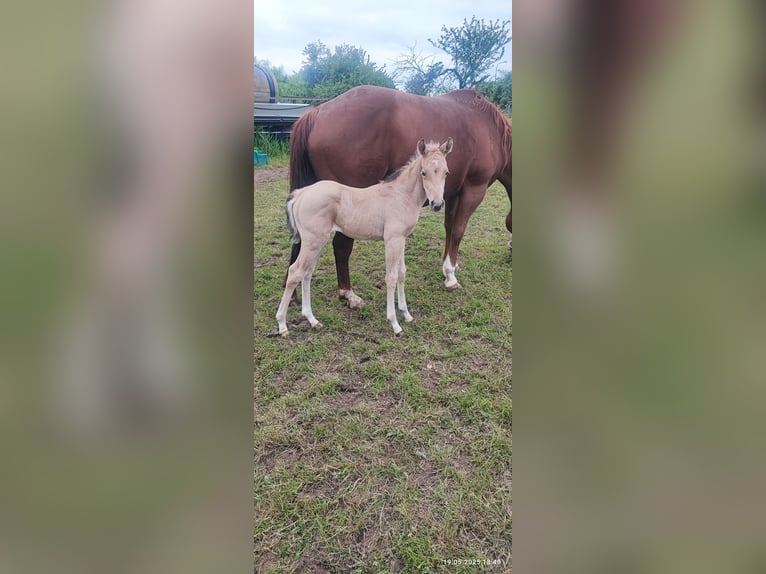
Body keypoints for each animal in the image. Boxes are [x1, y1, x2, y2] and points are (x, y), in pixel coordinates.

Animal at [276, 138, 453, 336]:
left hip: (317, 242)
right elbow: (391, 277)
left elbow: (401, 273)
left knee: (307, 274)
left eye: (446, 172)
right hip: (312, 242)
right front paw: (394, 323)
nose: (437, 204)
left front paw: (406, 314)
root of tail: (301, 193)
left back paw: (312, 320)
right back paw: (282, 325)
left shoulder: (402, 239)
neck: (401, 196)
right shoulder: (392, 240)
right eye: (424, 172)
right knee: (295, 272)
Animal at [288, 85, 511, 309]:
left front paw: (448, 268)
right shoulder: (474, 189)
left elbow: (449, 228)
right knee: (341, 246)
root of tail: (316, 113)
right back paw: (348, 294)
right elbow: (458, 231)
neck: (490, 129)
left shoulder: (451, 193)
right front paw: (451, 276)